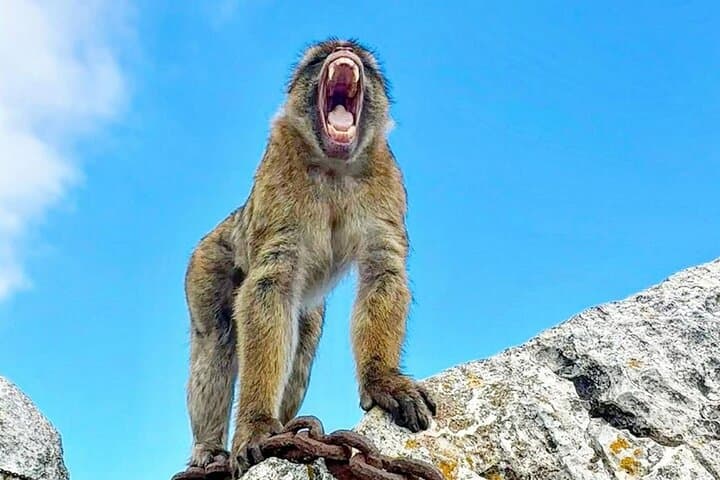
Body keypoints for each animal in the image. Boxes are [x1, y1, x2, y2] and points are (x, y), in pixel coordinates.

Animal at [173, 38, 436, 480]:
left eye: (363, 62)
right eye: (319, 58)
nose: (344, 50)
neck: (333, 167)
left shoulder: (386, 182)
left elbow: (382, 269)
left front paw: (383, 380)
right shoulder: (279, 176)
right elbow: (268, 287)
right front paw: (257, 425)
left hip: (307, 310)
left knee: (300, 354)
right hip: (206, 264)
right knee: (216, 344)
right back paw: (210, 449)